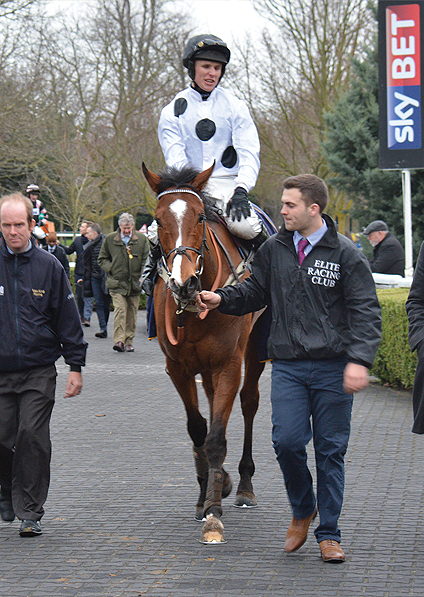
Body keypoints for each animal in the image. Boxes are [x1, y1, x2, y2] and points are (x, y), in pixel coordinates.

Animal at [144, 161, 266, 544]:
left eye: (199, 217)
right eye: (158, 220)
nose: (184, 283)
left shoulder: (228, 364)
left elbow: (216, 438)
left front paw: (214, 514)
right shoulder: (178, 368)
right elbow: (199, 429)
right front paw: (205, 495)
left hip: (255, 348)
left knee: (249, 402)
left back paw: (243, 485)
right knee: (214, 405)